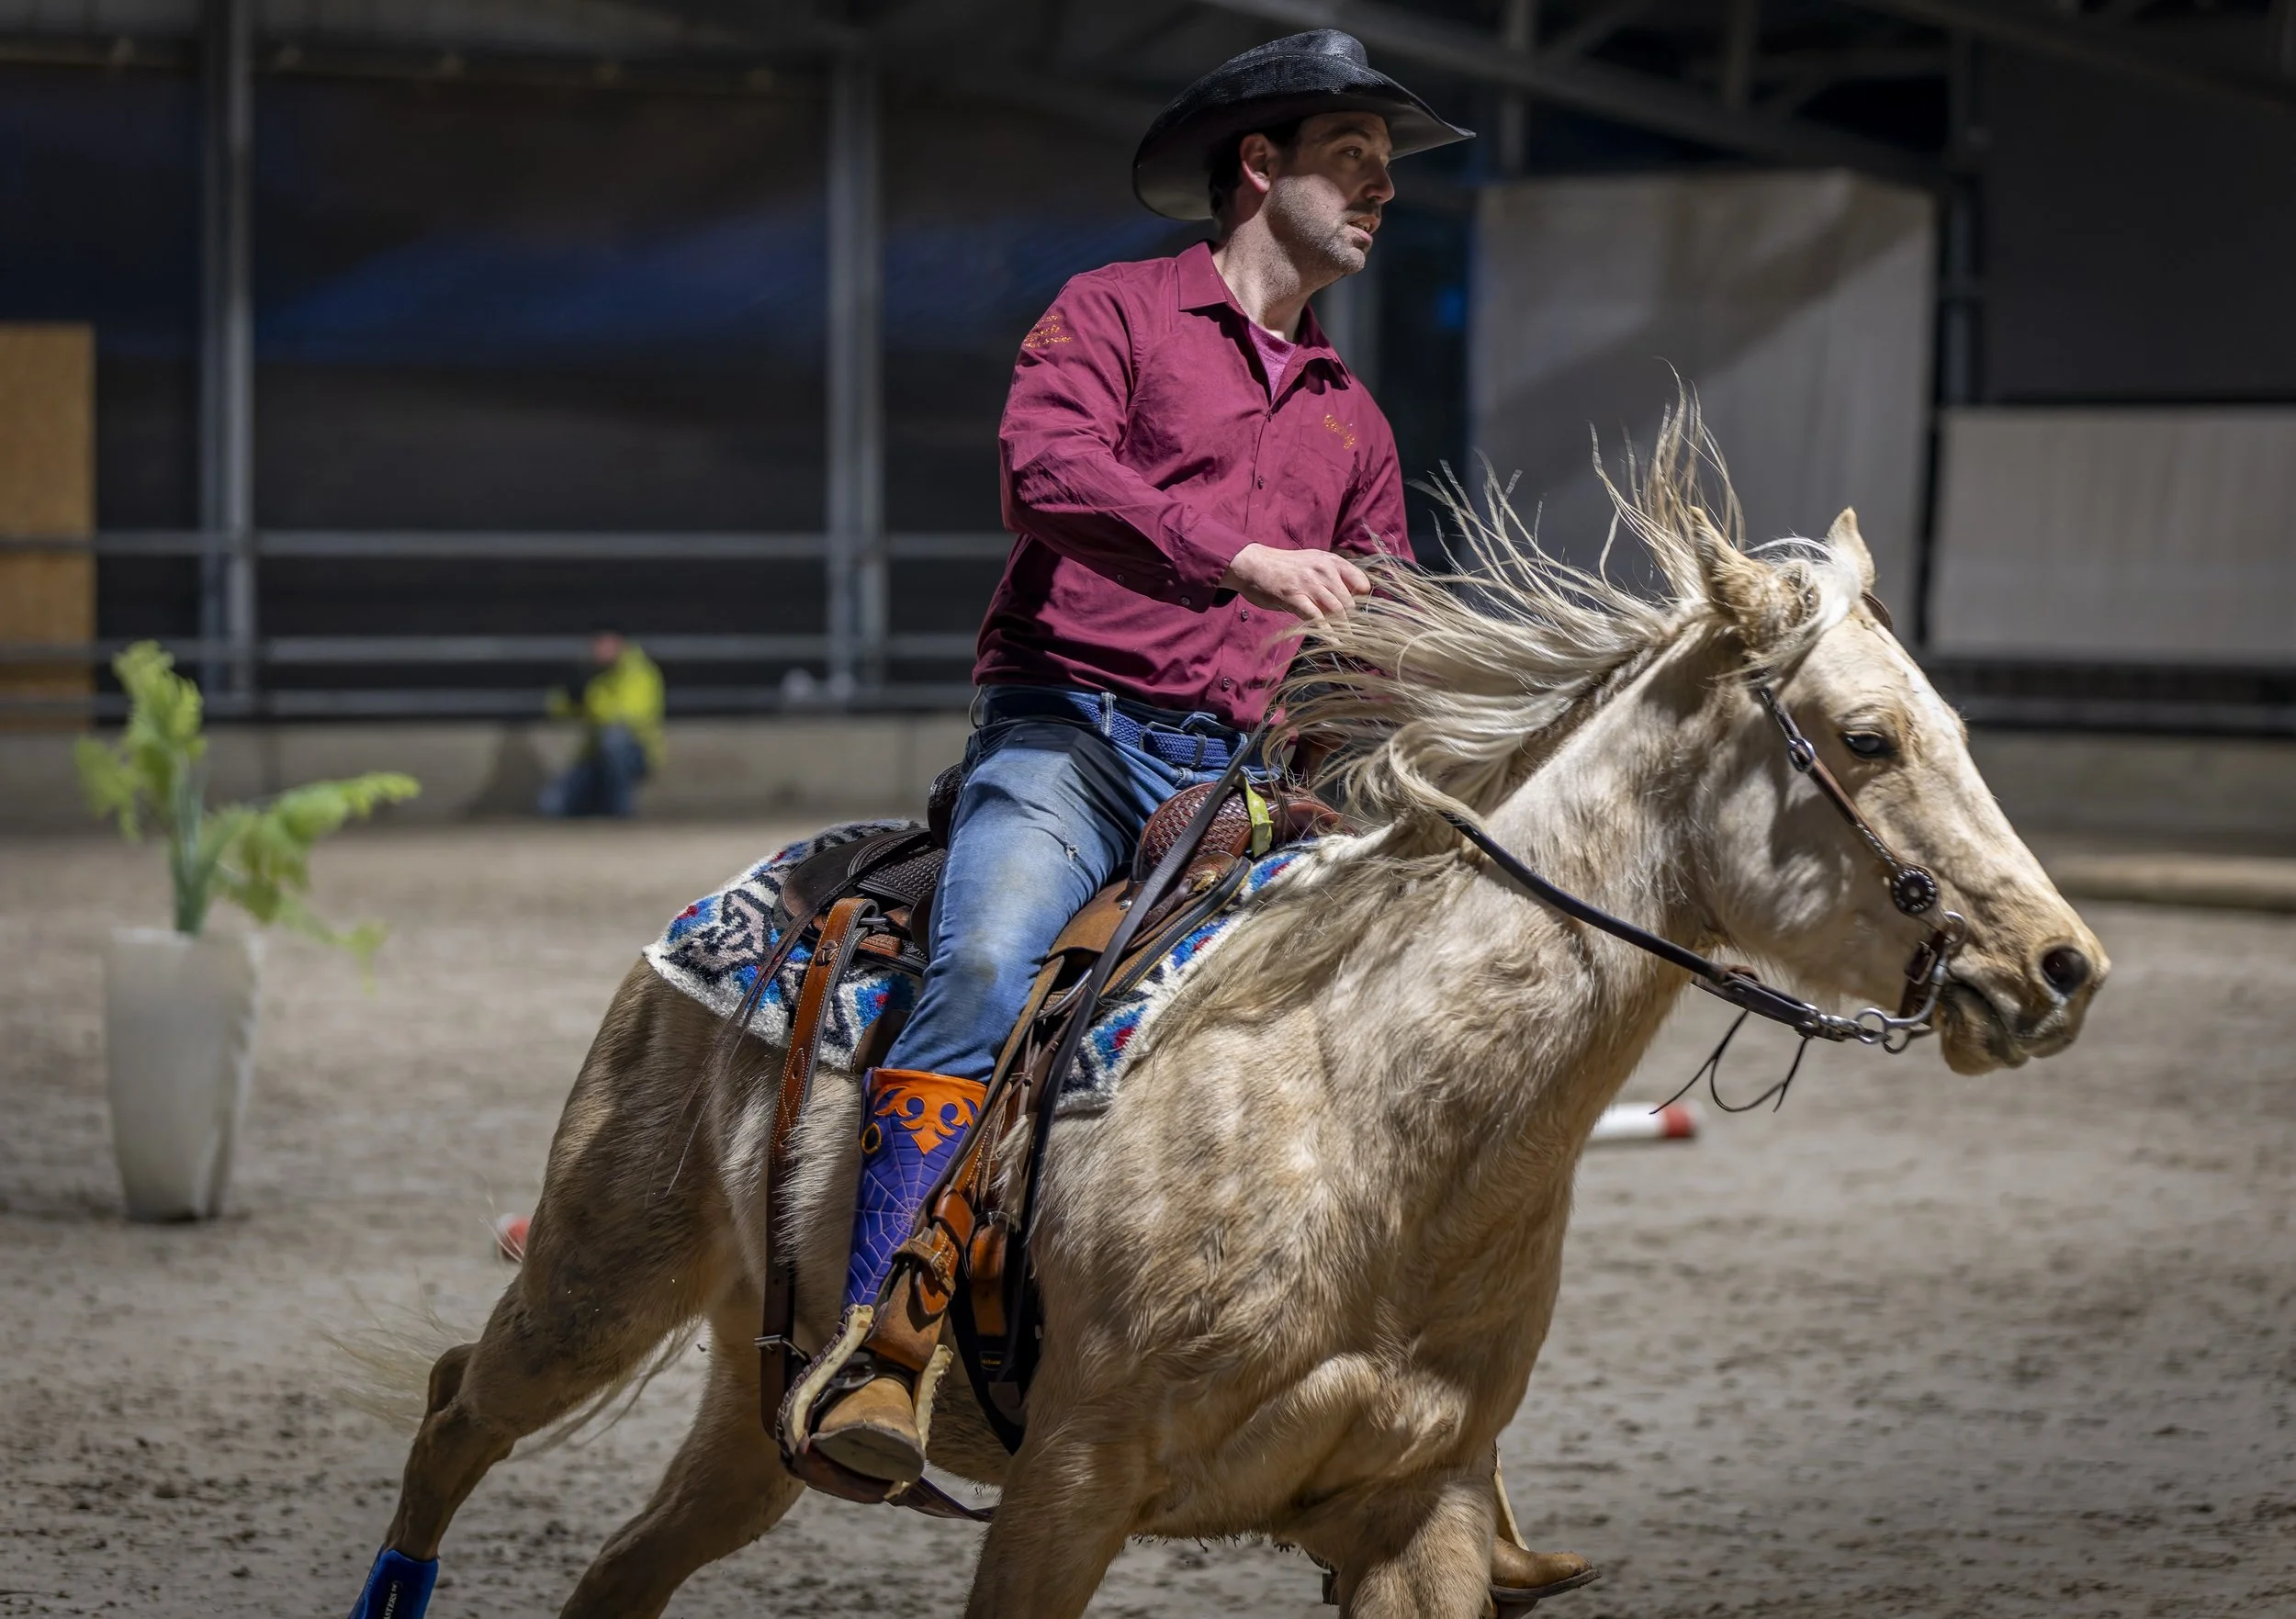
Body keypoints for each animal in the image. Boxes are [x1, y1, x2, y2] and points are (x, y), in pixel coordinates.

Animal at [351, 414, 2105, 1618]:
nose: (2063, 967)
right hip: (598, 1274)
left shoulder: (1420, 1507)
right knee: (453, 1406)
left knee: (625, 1565)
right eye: (1866, 737)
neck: (1371, 1117)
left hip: (750, 1398)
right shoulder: (1066, 1489)